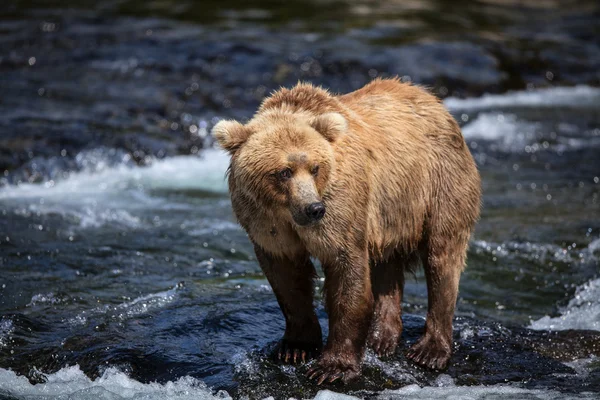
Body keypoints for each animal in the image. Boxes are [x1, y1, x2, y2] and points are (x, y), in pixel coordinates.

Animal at [213, 79, 480, 384]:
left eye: (315, 167)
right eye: (284, 171)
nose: (314, 209)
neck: (285, 213)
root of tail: (434, 100)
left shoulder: (341, 208)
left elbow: (347, 273)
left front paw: (332, 367)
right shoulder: (267, 225)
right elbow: (287, 278)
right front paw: (295, 347)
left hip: (437, 183)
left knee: (442, 256)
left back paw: (430, 350)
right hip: (388, 213)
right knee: (386, 264)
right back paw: (381, 337)